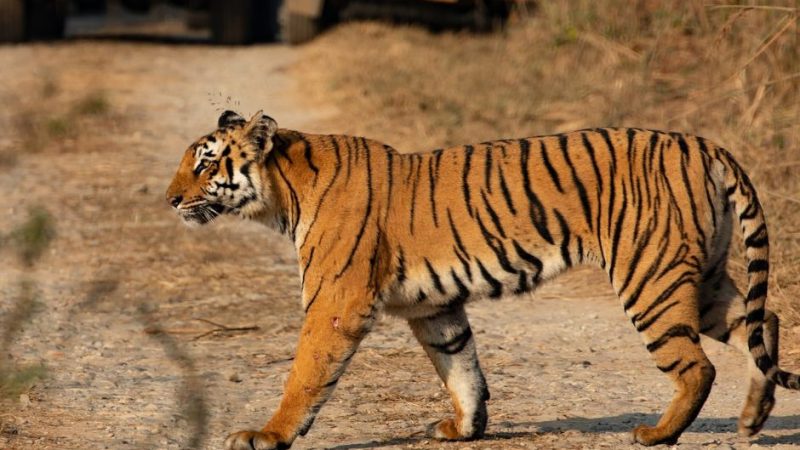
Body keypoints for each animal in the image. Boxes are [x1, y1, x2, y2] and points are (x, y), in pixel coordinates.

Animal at [166, 110, 796, 450]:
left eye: (204, 163)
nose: (170, 199)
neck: (283, 195)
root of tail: (705, 144)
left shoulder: (335, 305)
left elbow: (305, 377)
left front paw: (268, 435)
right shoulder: (433, 306)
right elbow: (461, 367)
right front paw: (465, 428)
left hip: (651, 279)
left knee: (698, 365)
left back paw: (658, 433)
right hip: (701, 278)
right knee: (763, 320)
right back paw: (752, 416)